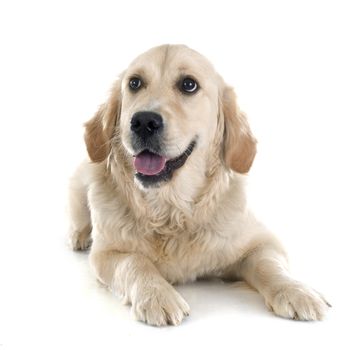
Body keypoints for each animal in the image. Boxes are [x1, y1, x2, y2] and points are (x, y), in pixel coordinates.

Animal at [67, 43, 330, 326]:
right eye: (134, 83)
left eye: (188, 85)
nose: (143, 121)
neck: (171, 209)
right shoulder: (106, 253)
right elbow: (135, 262)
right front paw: (156, 295)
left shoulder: (263, 241)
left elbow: (269, 265)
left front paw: (297, 291)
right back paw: (79, 236)